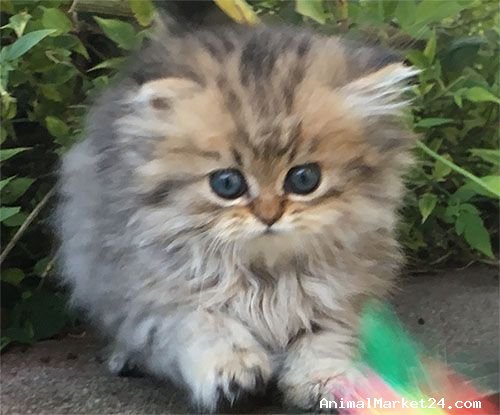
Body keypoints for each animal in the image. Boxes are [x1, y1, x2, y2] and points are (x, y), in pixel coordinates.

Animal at [56, 20, 417, 412]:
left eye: (304, 179)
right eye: (227, 184)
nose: (269, 216)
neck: (267, 278)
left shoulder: (347, 293)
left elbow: (325, 338)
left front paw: (324, 379)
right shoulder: (162, 294)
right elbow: (208, 326)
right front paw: (232, 370)